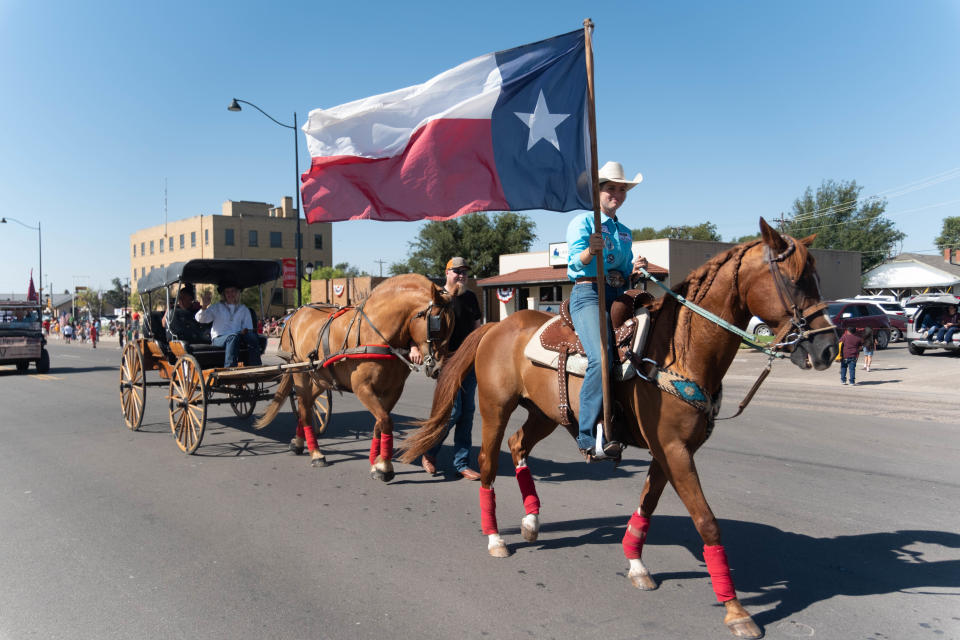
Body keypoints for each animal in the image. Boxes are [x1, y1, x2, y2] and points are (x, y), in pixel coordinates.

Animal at [256, 274, 456, 480]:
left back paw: (298, 441)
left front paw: (376, 460)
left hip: (320, 377)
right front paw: (384, 466)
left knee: (308, 405)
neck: (378, 335)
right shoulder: (363, 388)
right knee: (304, 408)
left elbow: (380, 423)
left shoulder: (393, 390)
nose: (439, 368)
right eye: (436, 323)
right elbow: (386, 421)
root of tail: (295, 314)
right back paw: (316, 453)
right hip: (299, 372)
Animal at [402, 221, 836, 640]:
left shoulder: (671, 451)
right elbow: (707, 522)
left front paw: (636, 564)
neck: (678, 349)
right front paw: (737, 611)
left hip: (545, 413)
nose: (828, 348)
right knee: (490, 463)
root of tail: (496, 326)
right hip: (495, 408)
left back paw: (531, 521)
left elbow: (647, 505)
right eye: (794, 279)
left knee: (518, 445)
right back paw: (495, 538)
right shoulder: (674, 449)